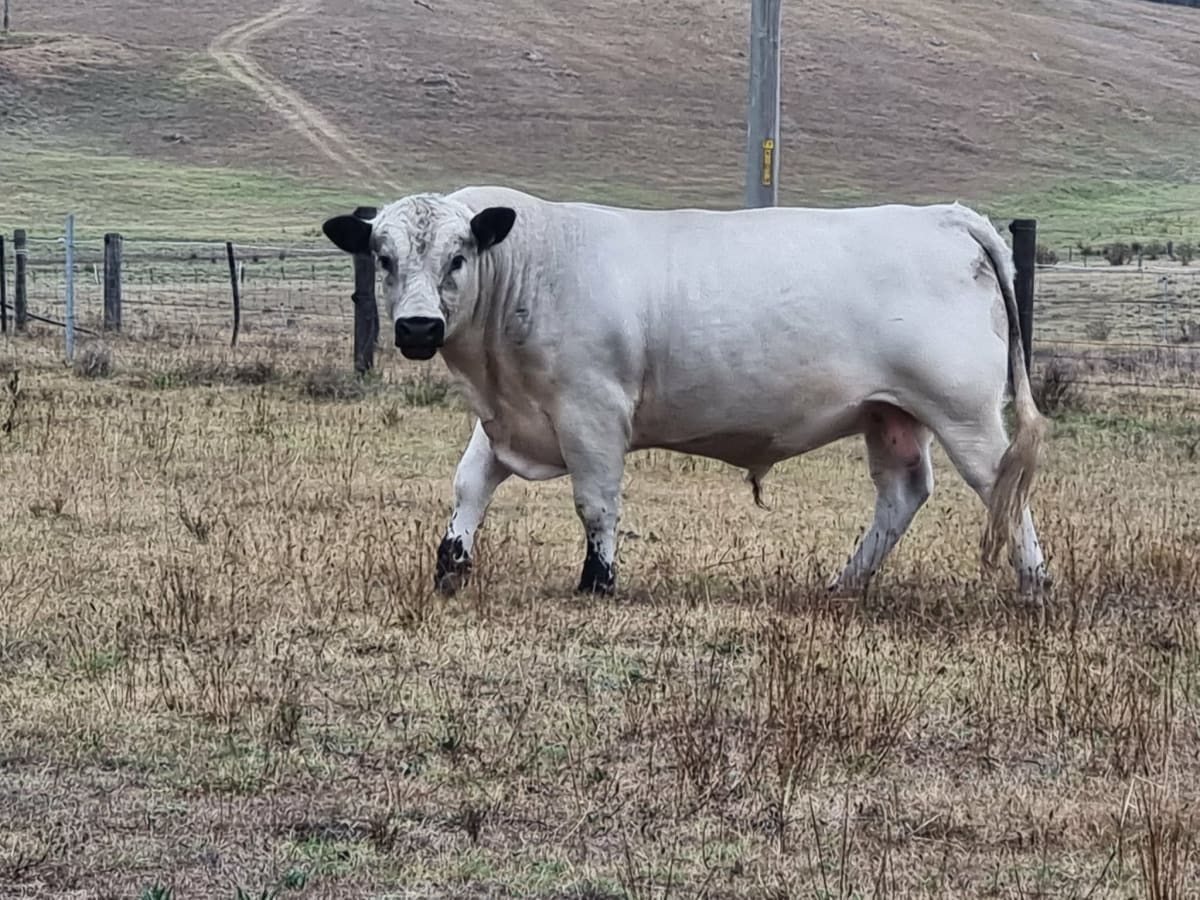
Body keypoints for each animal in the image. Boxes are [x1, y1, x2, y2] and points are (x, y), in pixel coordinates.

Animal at [322, 186, 1050, 598]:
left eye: (458, 257)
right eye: (384, 257)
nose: (418, 327)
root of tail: (945, 217)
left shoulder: (591, 412)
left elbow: (595, 503)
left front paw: (598, 581)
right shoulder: (506, 417)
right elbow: (469, 485)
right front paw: (450, 565)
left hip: (965, 413)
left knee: (1003, 486)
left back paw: (1034, 585)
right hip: (890, 414)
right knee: (902, 494)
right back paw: (846, 583)